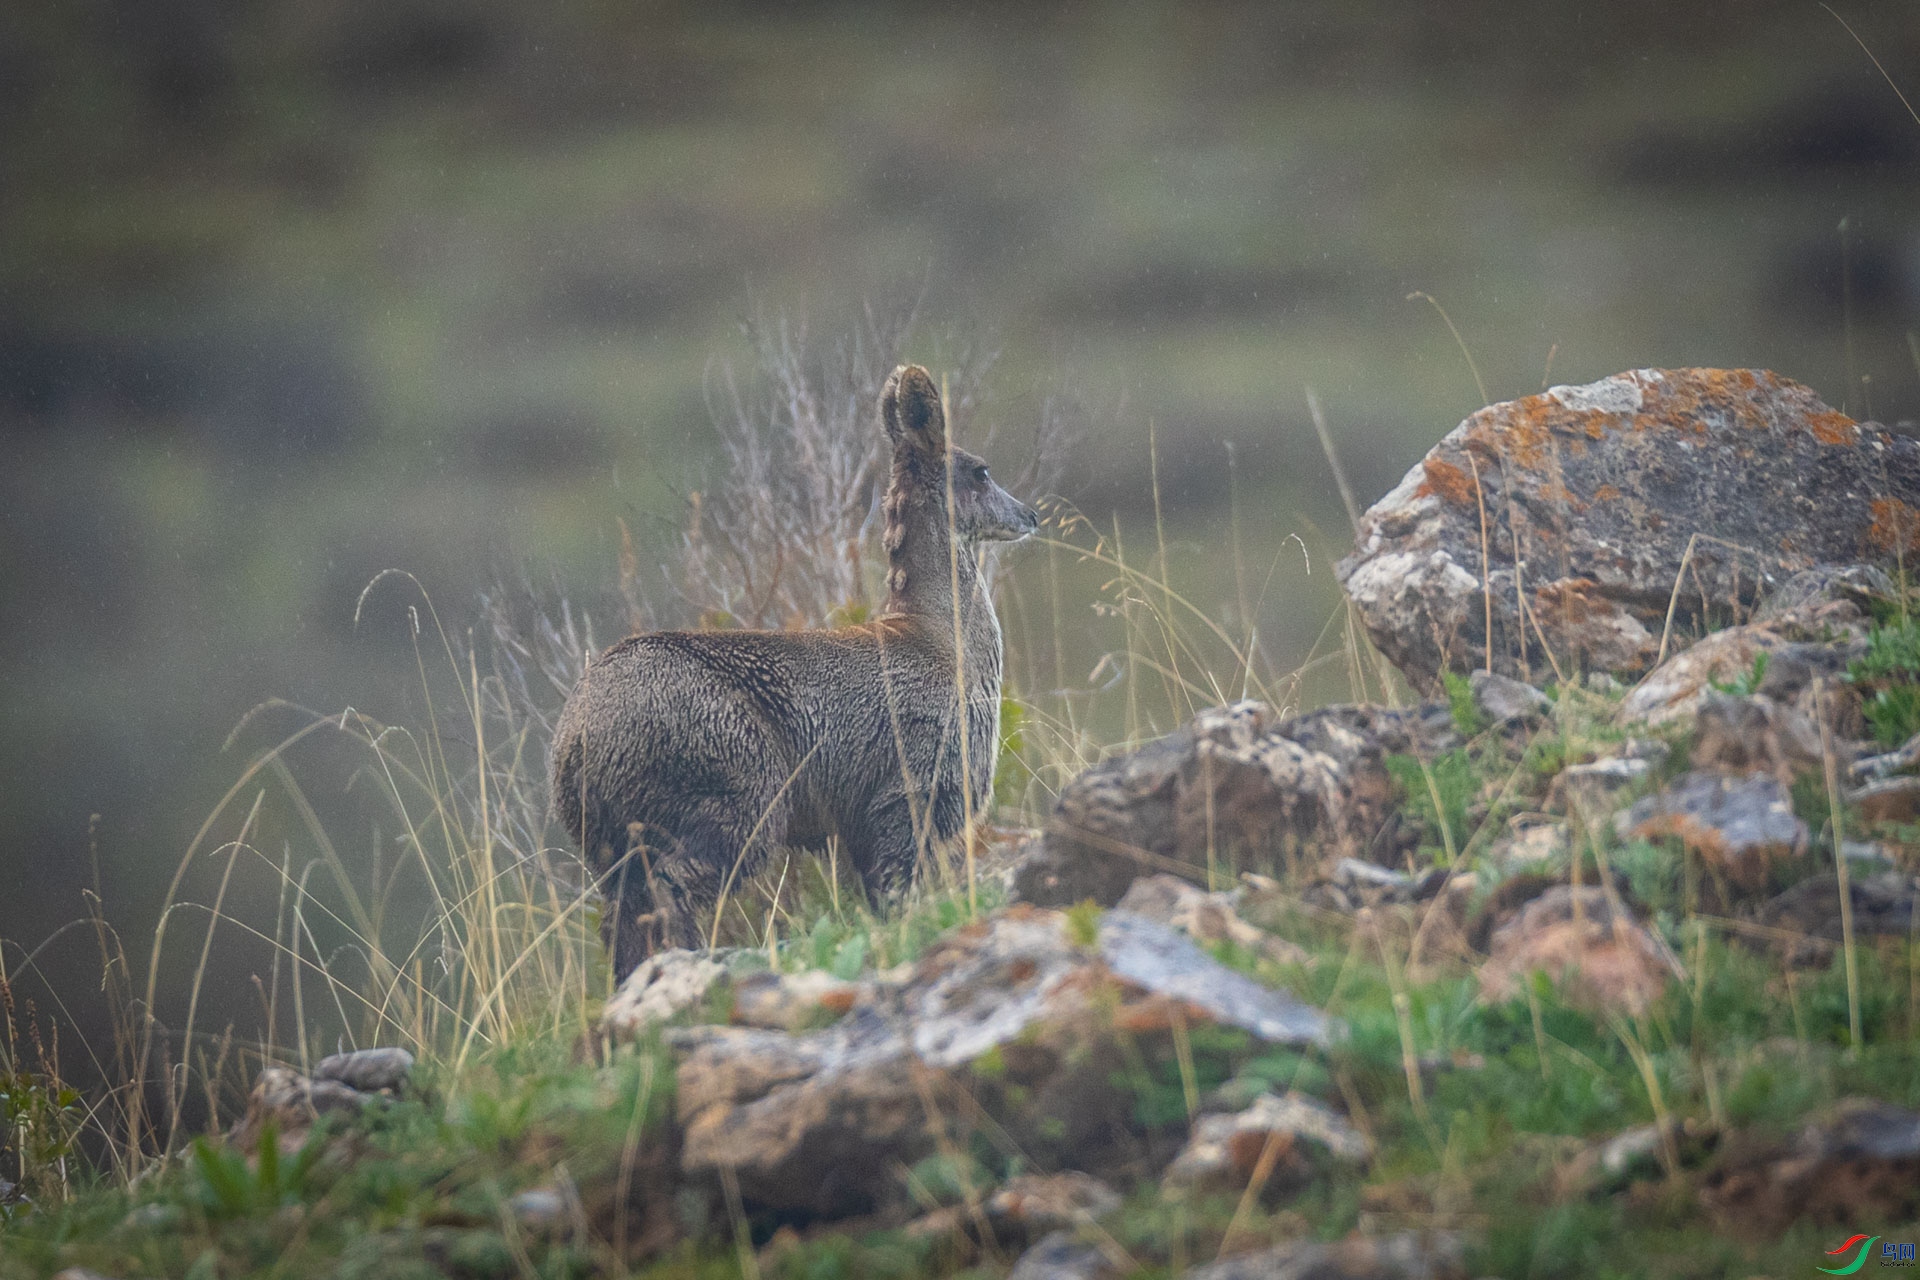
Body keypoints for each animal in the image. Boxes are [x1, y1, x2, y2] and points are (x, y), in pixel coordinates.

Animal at [549, 362, 1044, 982]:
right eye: (980, 470)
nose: (1031, 514)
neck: (943, 645)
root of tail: (575, 743)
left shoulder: (863, 820)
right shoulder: (908, 786)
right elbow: (898, 895)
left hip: (606, 842)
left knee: (620, 916)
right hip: (737, 786)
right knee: (672, 883)